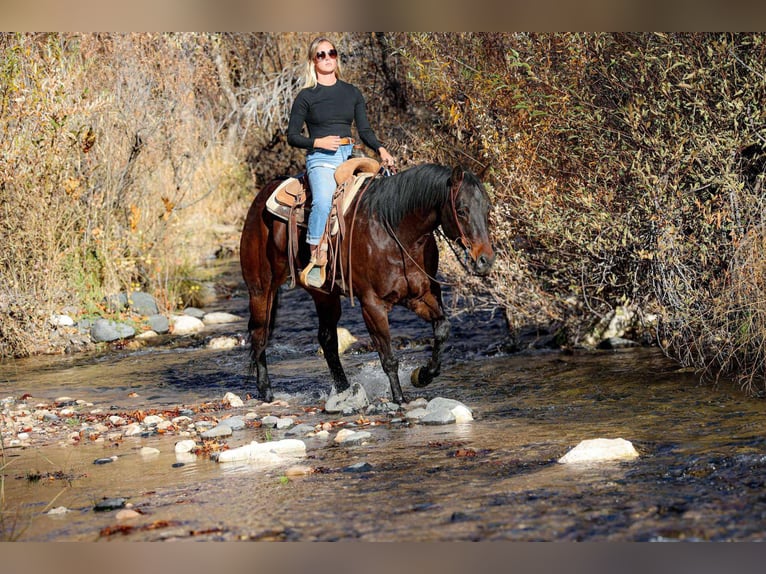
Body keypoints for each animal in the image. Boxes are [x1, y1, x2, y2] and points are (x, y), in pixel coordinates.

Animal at [240, 162, 498, 404]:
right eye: (462, 211)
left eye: (487, 207)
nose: (485, 260)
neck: (395, 232)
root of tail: (262, 196)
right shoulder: (372, 305)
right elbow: (388, 358)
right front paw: (399, 399)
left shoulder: (420, 296)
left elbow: (443, 328)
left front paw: (422, 375)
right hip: (261, 289)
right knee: (260, 335)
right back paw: (266, 391)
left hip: (324, 295)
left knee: (327, 339)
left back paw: (344, 390)